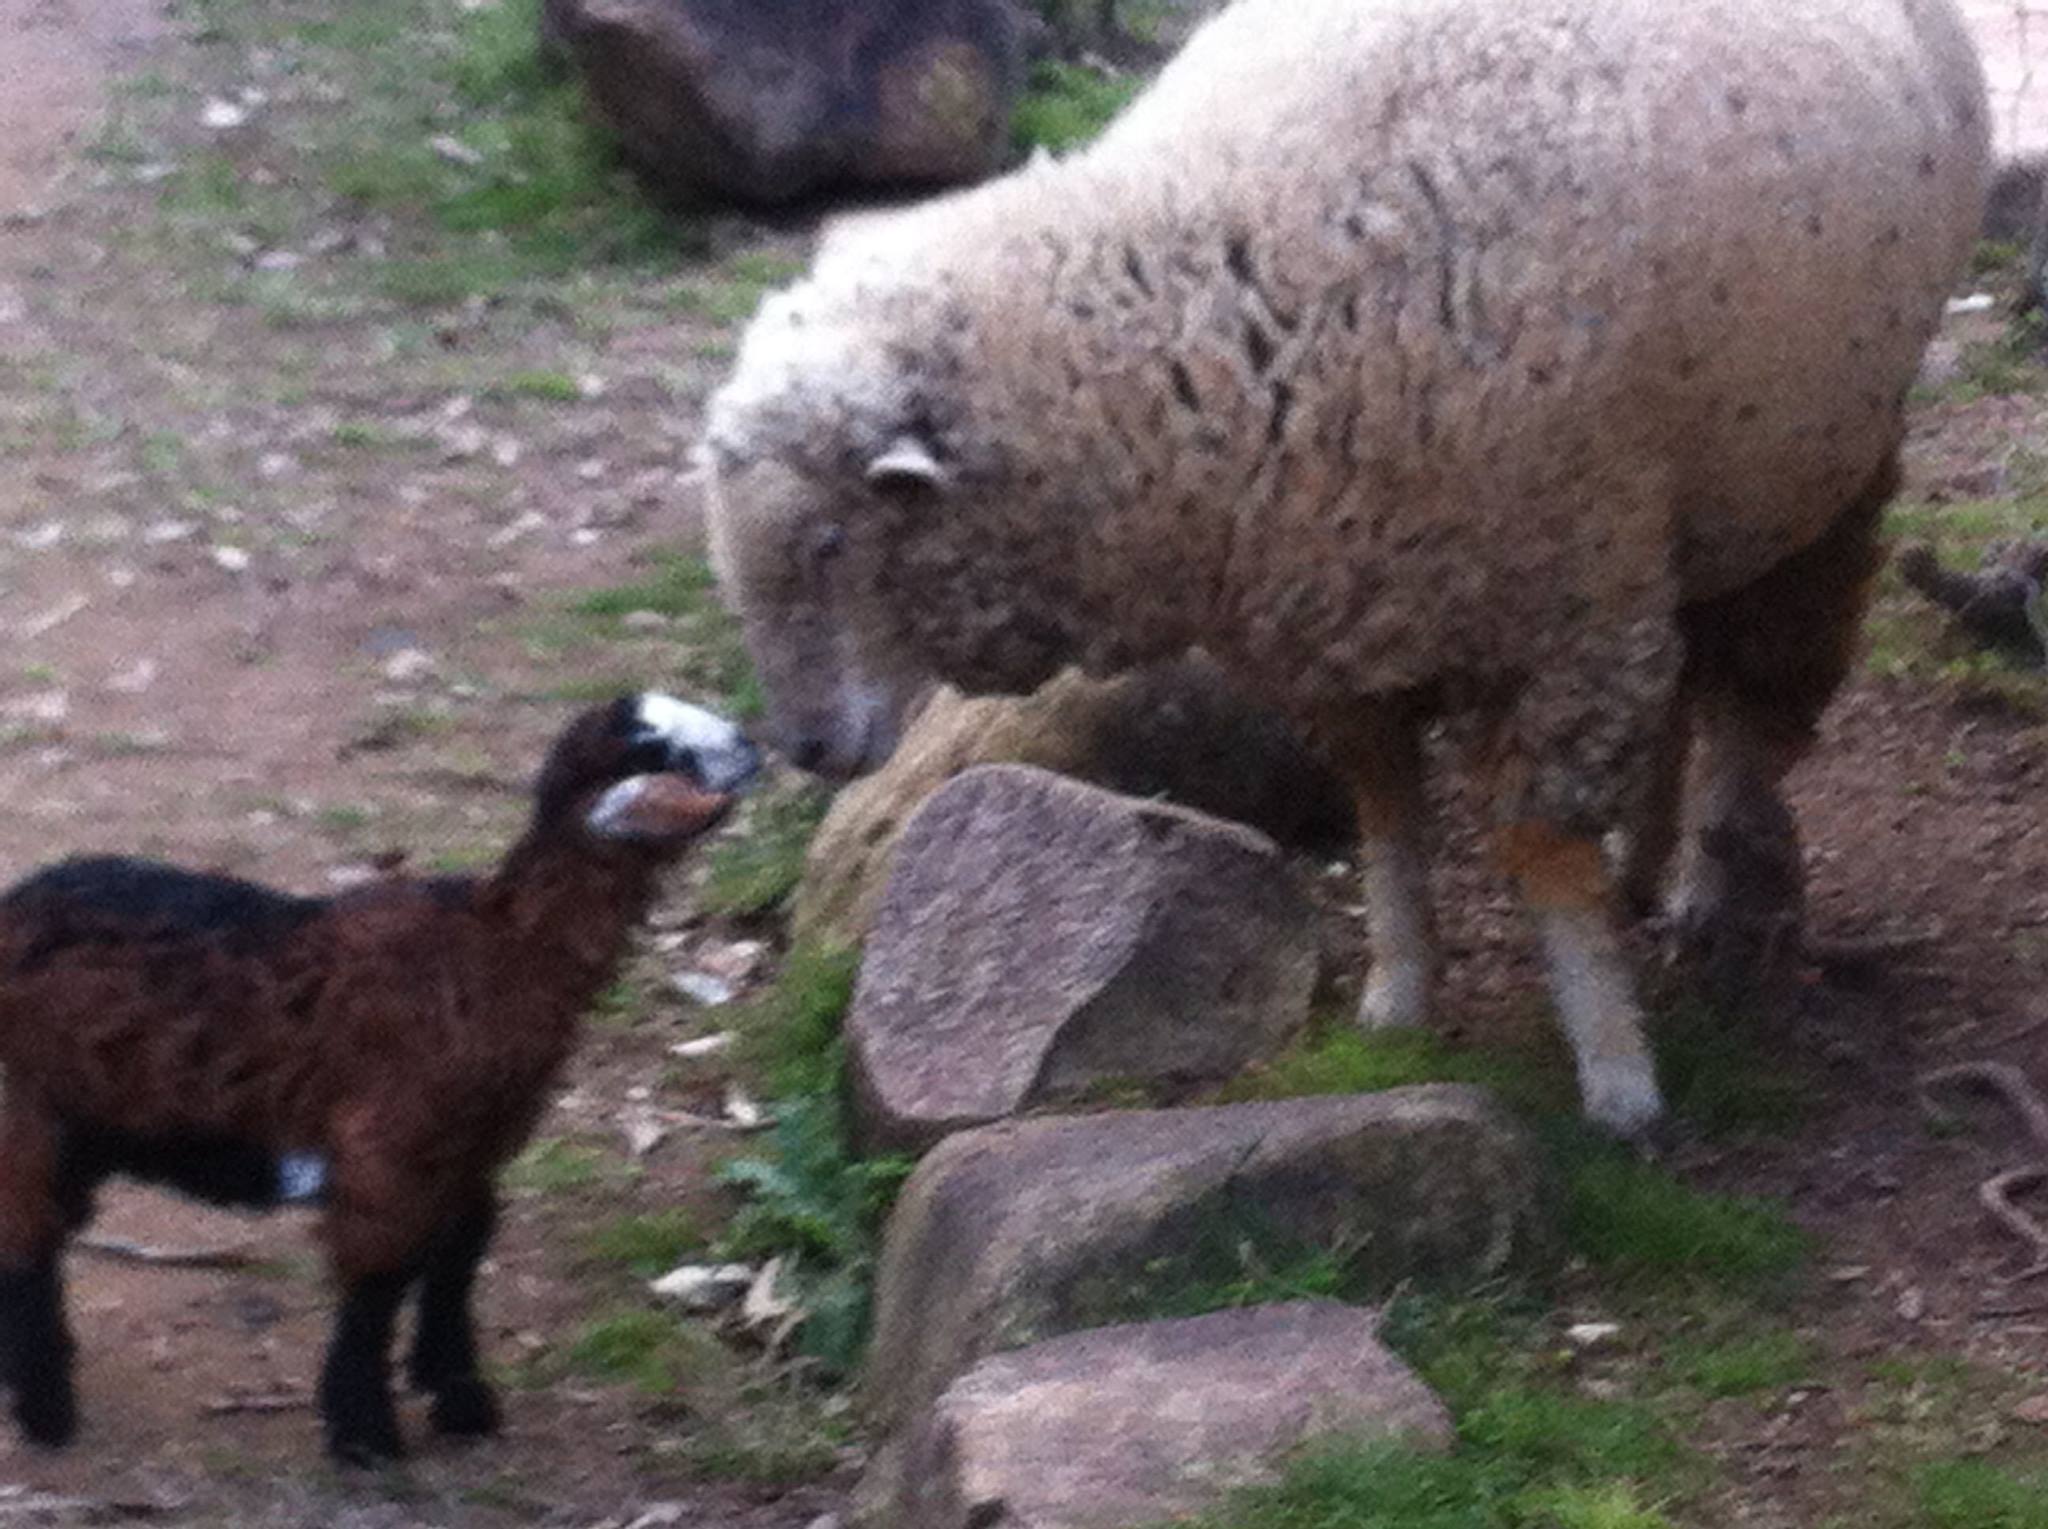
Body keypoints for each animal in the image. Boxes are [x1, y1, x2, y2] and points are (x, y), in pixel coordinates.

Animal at [0, 695, 761, 1473]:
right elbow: (378, 1283)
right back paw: (46, 1410)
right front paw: (366, 1433)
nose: (753, 747)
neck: (499, 950)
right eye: (658, 749)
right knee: (26, 1243)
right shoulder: (388, 1147)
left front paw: (458, 1396)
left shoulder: (468, 1150)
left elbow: (460, 1255)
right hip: (23, 1104)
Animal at [700, 0, 1982, 1138]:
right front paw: (1398, 996)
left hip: (1813, 464)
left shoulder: (1557, 602)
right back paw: (1650, 852)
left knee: (1746, 684)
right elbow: (1386, 817)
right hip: (1672, 517)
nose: (803, 747)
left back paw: (1711, 878)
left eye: (830, 542)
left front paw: (1615, 1073)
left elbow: (1543, 859)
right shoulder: (1338, 617)